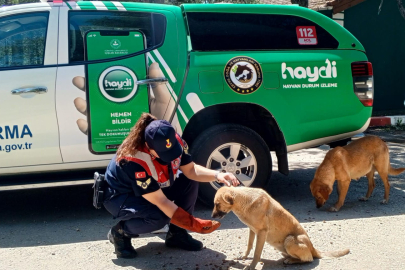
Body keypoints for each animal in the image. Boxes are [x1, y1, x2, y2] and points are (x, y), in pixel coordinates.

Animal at [211, 187, 348, 268]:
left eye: (217, 204)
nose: (212, 216)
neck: (244, 200)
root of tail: (313, 248)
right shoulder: (252, 230)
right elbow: (249, 246)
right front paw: (244, 257)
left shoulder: (261, 233)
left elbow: (256, 253)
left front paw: (251, 266)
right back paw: (290, 258)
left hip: (290, 240)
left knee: (309, 259)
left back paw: (292, 261)